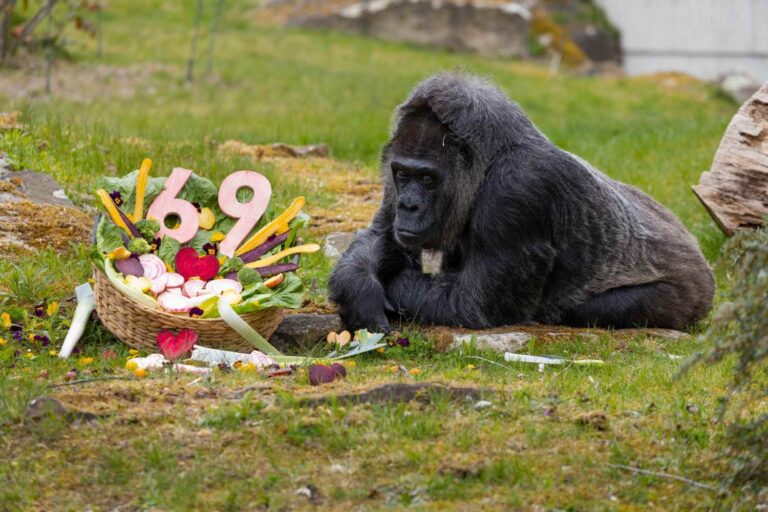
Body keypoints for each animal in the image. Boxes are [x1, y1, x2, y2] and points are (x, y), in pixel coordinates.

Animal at [329, 73, 714, 333]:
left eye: (427, 179)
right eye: (402, 175)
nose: (408, 206)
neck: (488, 160)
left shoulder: (517, 191)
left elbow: (471, 305)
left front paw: (391, 285)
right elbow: (383, 236)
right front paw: (361, 291)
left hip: (691, 295)